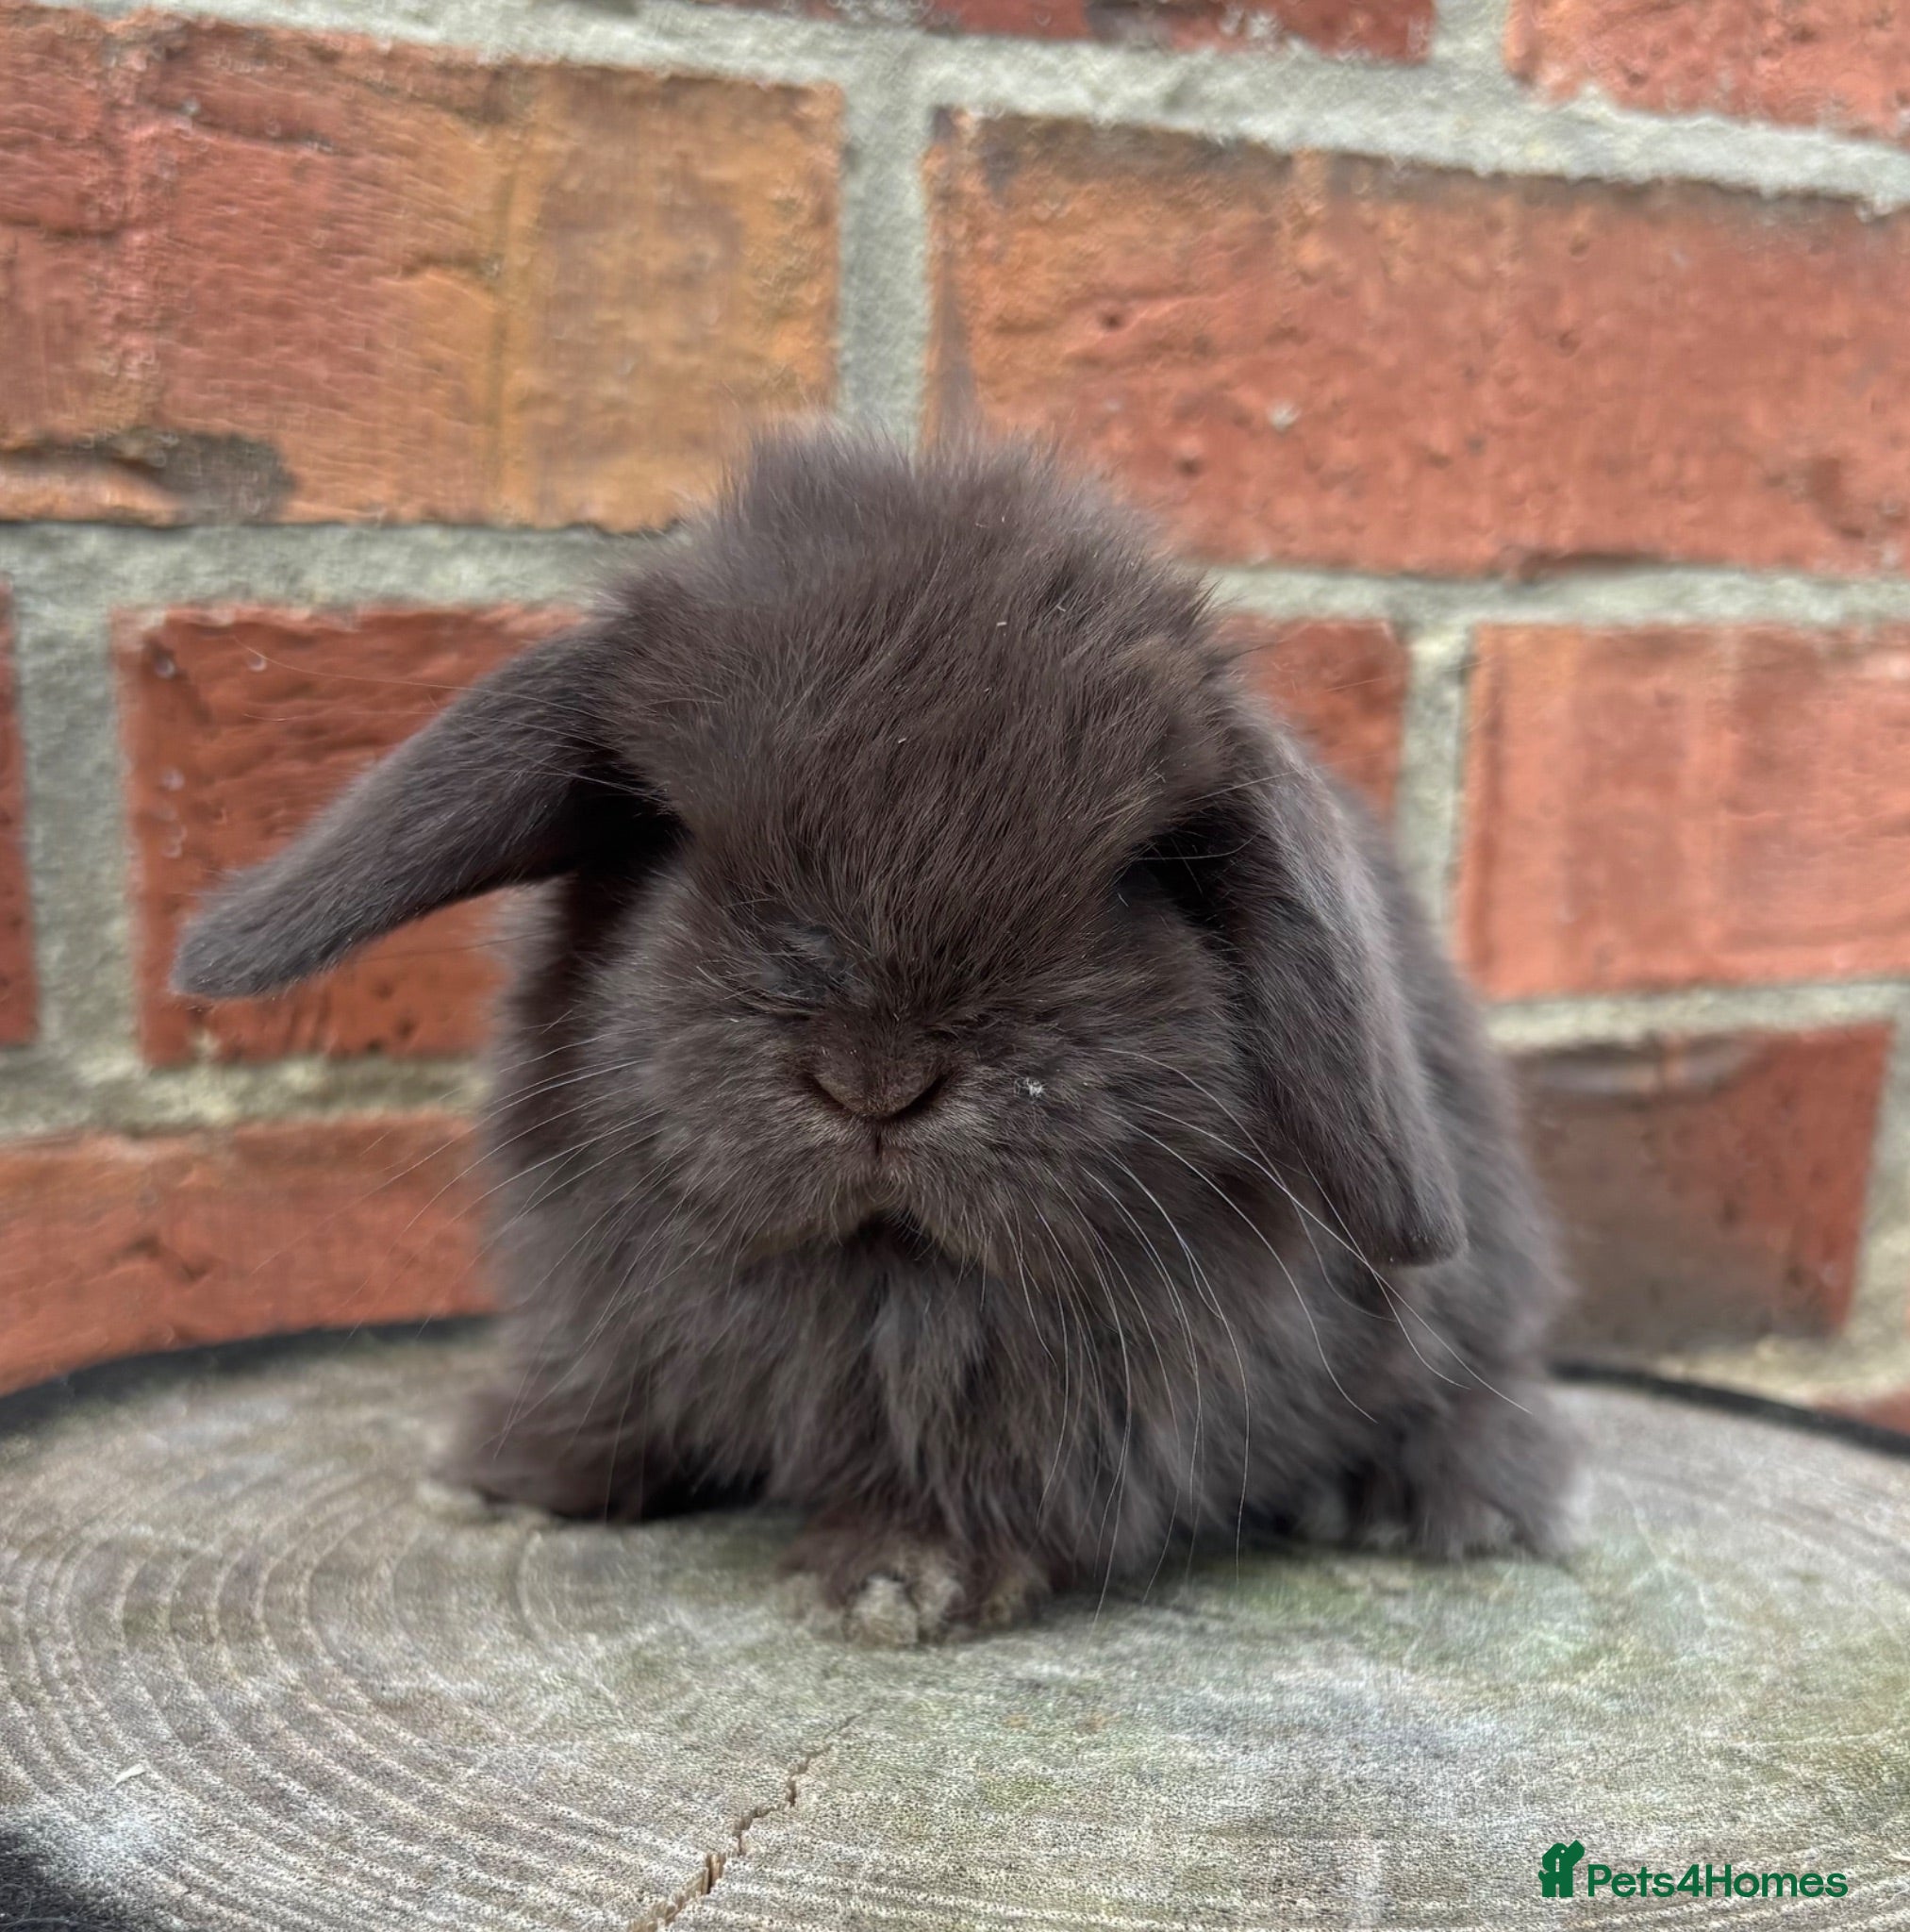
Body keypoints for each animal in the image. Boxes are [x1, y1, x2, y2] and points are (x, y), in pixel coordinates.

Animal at [174, 428, 1577, 1644]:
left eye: (1136, 877)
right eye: (674, 830)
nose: (875, 1079)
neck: (873, 1271)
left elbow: (1010, 1473)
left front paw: (898, 1578)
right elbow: (613, 1387)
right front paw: (506, 1470)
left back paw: (1442, 1502)